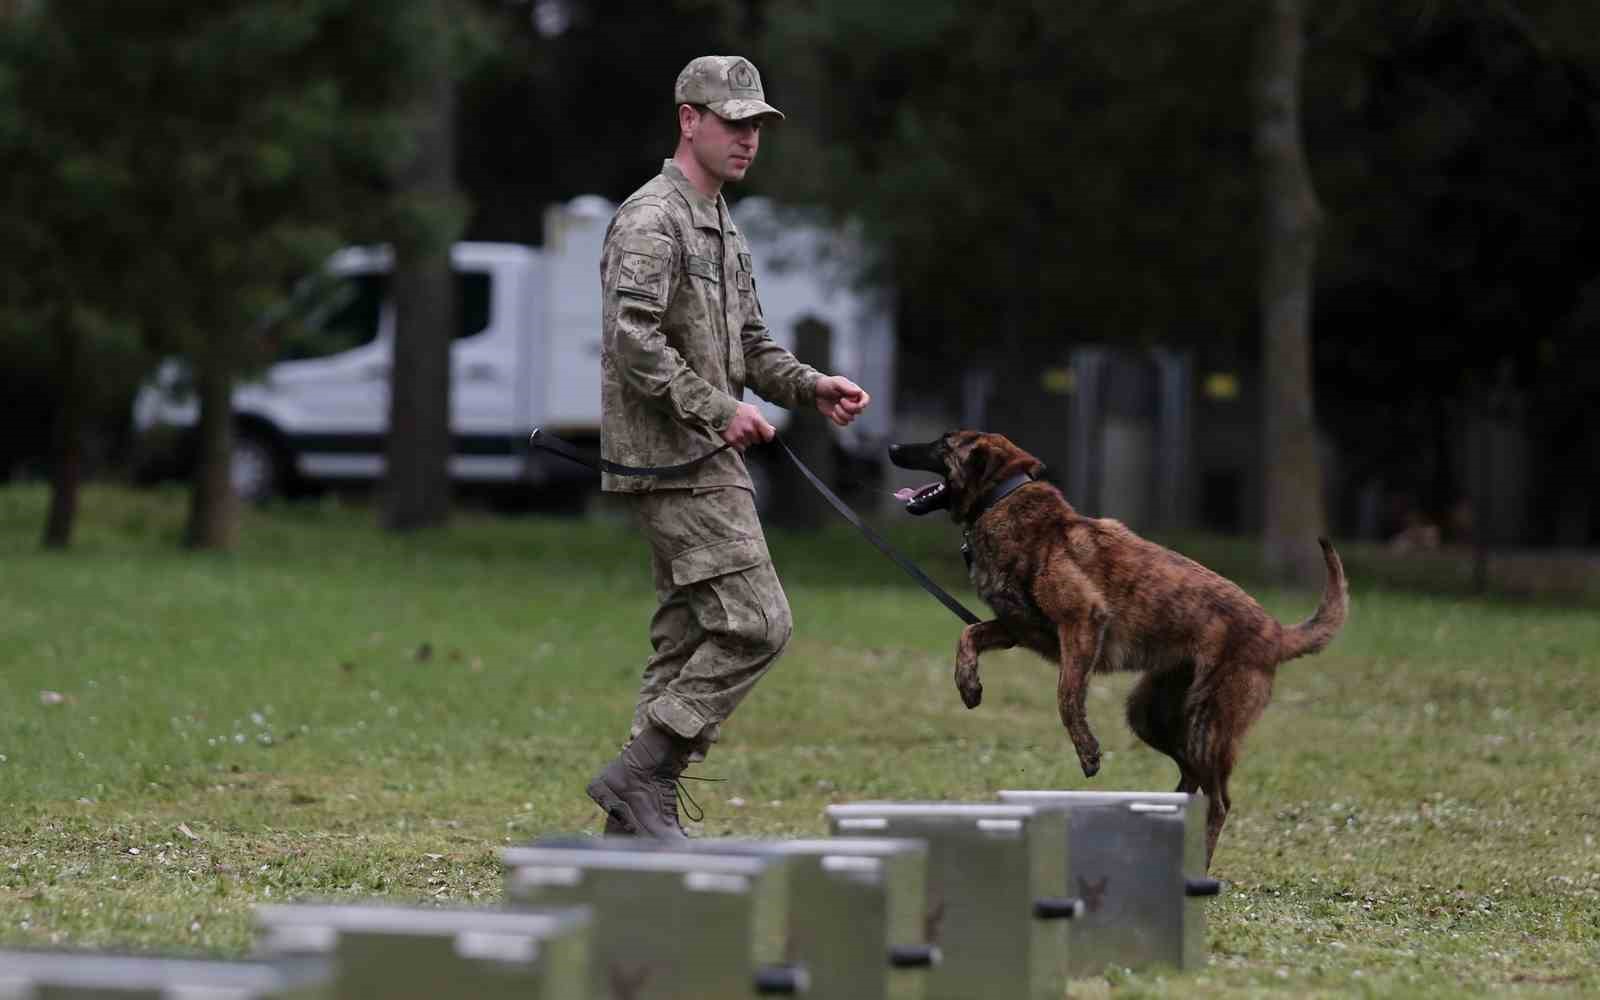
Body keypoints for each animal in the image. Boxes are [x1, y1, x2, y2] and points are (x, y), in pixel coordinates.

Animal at [889, 432, 1350, 864]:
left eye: (943, 443)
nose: (891, 448)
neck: (1002, 499)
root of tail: (1276, 632)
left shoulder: (1083, 622)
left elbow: (1066, 696)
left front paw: (1088, 750)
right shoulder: (1016, 628)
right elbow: (967, 636)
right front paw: (968, 685)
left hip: (1208, 724)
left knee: (1218, 801)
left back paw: (1198, 860)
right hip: (1151, 715)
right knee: (1190, 782)